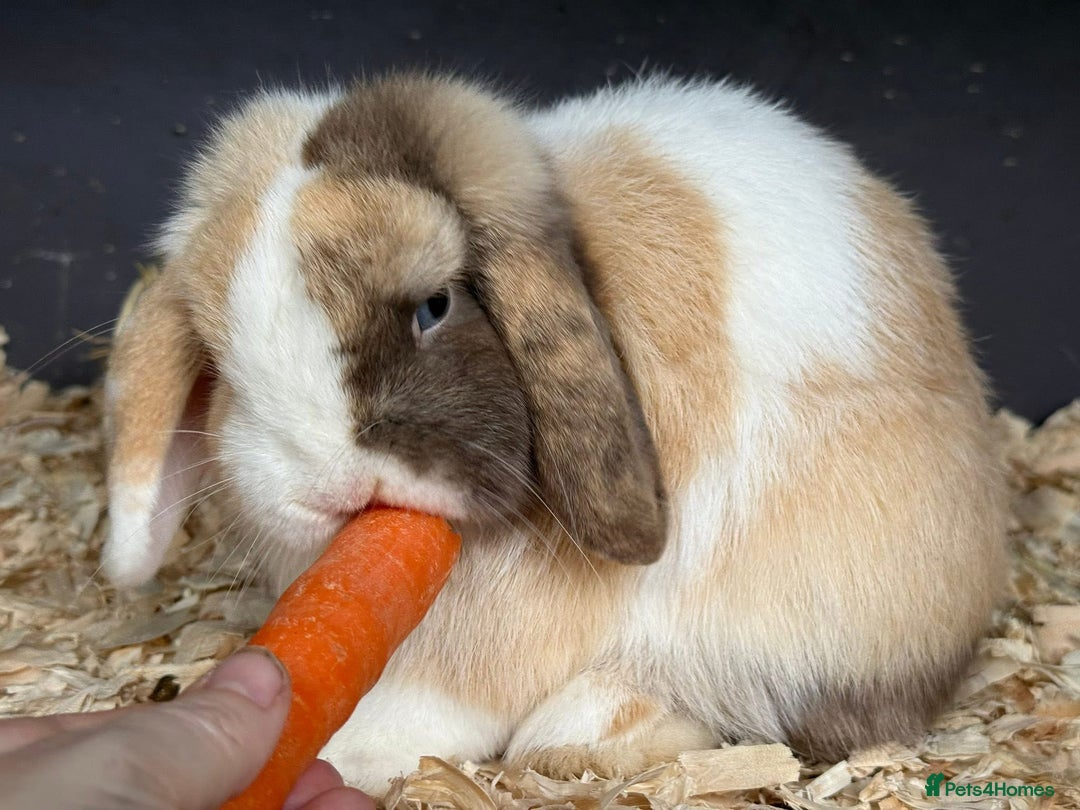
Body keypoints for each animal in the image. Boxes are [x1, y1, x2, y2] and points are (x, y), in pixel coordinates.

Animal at [101, 73, 1008, 795]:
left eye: (435, 306)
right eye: (218, 354)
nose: (329, 486)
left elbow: (448, 684)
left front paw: (347, 750)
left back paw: (579, 733)